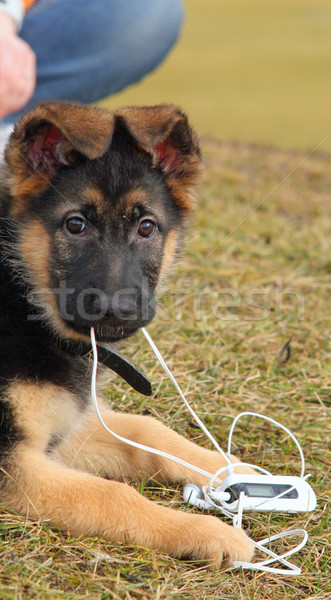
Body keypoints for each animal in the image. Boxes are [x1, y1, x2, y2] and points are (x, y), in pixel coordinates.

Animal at [0, 103, 254, 568]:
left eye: (147, 228)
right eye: (76, 225)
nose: (117, 309)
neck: (25, 297)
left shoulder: (68, 425)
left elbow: (148, 432)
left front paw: (231, 469)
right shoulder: (13, 463)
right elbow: (114, 496)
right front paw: (205, 531)